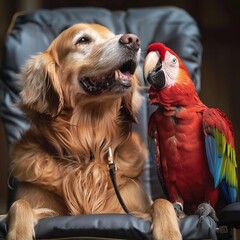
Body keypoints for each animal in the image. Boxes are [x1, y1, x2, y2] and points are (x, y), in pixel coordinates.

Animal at [5, 23, 181, 240]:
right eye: (83, 40)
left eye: (112, 35)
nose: (133, 40)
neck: (88, 149)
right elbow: (18, 204)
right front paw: (18, 233)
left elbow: (162, 202)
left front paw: (169, 232)